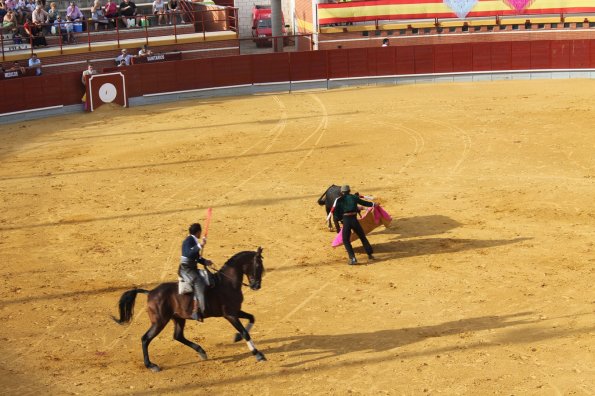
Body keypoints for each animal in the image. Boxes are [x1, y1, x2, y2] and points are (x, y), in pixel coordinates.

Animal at [113, 248, 266, 372]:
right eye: (258, 265)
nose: (256, 286)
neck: (227, 283)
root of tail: (150, 292)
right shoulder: (229, 314)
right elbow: (245, 332)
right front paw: (258, 354)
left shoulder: (235, 311)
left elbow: (252, 318)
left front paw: (237, 337)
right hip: (159, 321)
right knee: (146, 338)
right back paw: (151, 365)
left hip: (178, 318)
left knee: (178, 336)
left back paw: (201, 351)